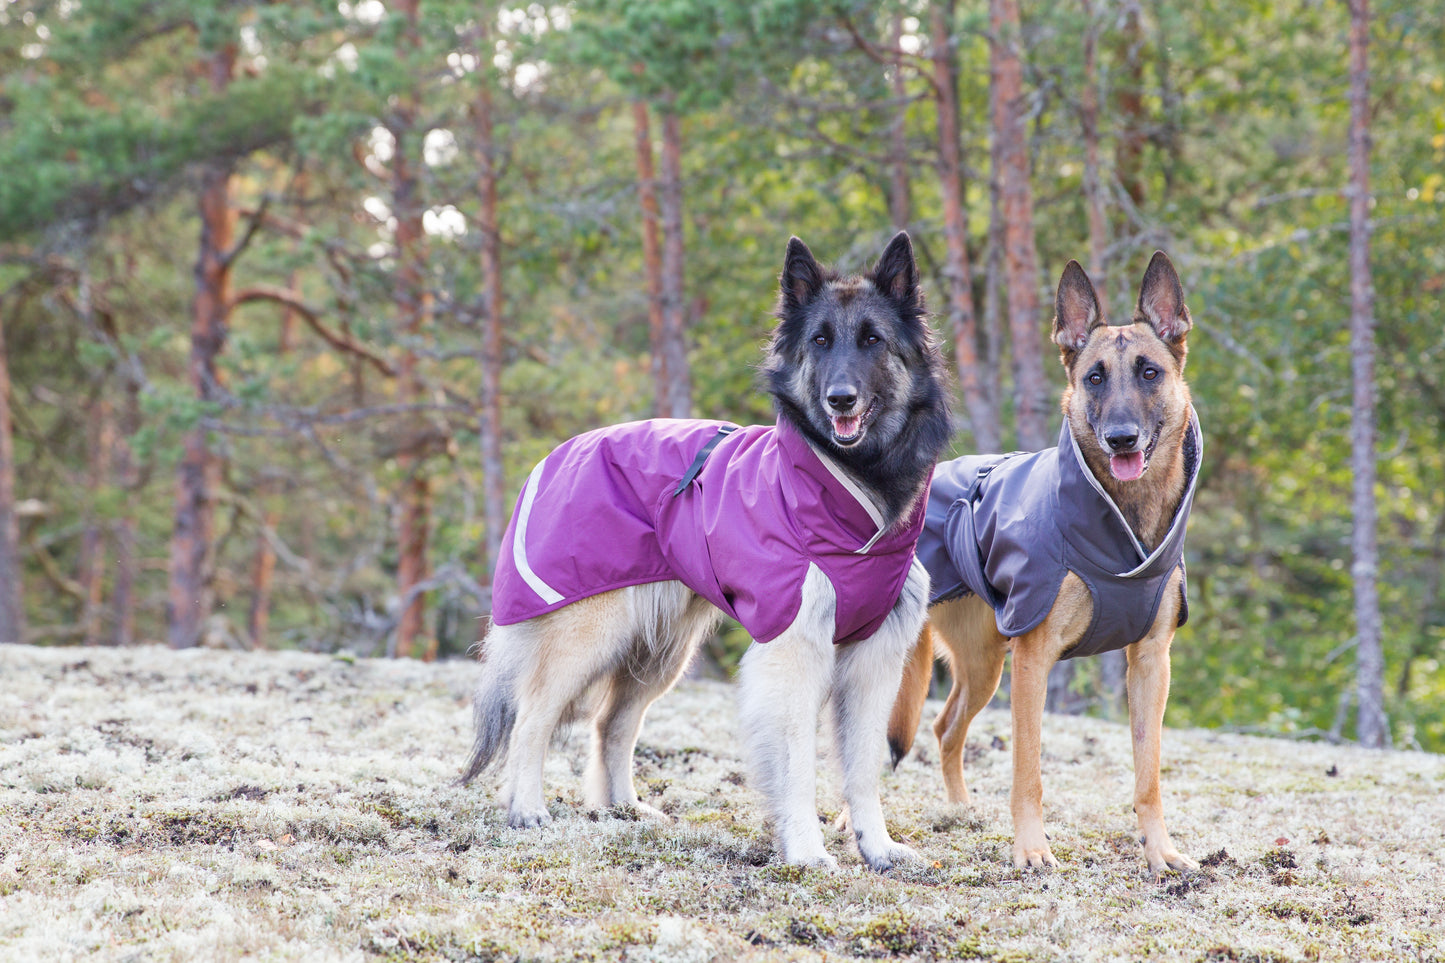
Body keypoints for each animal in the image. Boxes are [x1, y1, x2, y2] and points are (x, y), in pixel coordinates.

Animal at [890, 253, 1196, 867]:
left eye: (1150, 373)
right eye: (1094, 377)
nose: (1121, 439)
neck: (1120, 526)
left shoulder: (1151, 663)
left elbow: (1147, 776)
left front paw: (1160, 852)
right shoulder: (1034, 661)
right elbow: (1027, 771)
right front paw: (1031, 850)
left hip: (983, 666)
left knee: (944, 728)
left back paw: (959, 812)